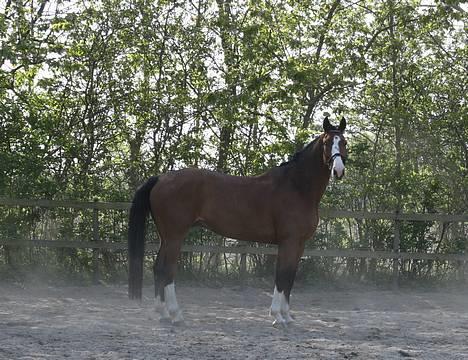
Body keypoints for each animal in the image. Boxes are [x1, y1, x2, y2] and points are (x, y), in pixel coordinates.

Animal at [128, 116, 348, 326]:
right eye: (327, 142)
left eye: (344, 142)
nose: (338, 170)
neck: (297, 187)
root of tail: (161, 178)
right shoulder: (289, 241)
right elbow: (282, 276)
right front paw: (278, 316)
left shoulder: (299, 244)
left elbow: (290, 278)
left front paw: (287, 316)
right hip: (175, 236)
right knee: (167, 270)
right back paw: (176, 315)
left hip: (166, 237)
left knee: (158, 268)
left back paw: (163, 313)